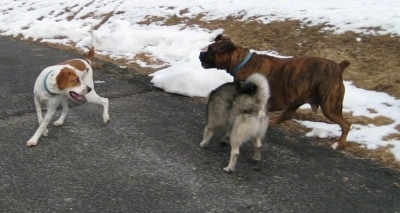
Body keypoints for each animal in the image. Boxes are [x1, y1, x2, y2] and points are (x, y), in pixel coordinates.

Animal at [199, 34, 350, 150]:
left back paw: (339, 144)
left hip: (329, 107)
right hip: (297, 101)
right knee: (285, 116)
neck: (242, 62)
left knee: (346, 125)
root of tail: (339, 67)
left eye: (211, 50)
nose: (200, 53)